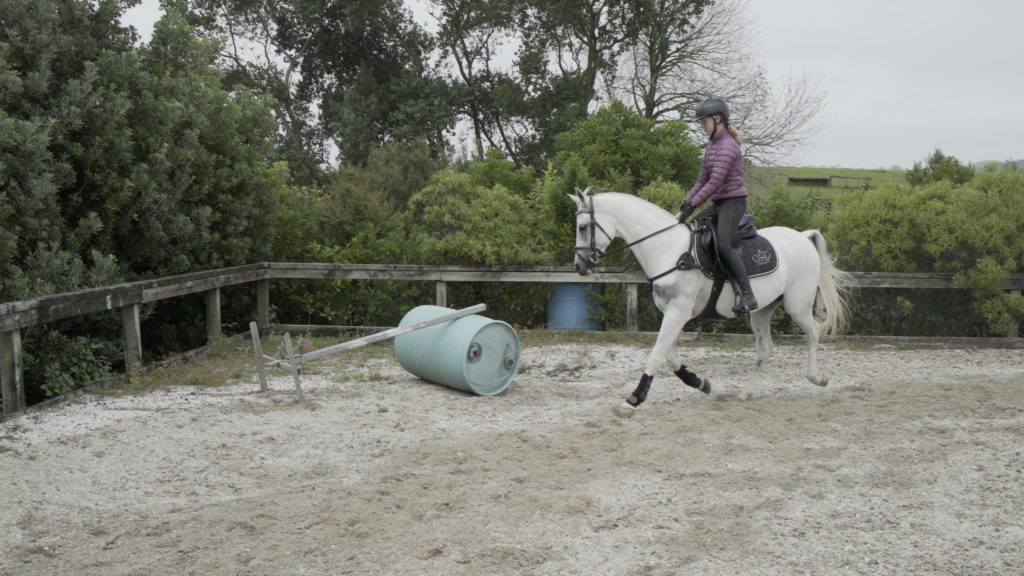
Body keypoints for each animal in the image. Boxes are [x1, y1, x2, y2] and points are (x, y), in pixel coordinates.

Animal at [569, 188, 853, 414]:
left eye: (582, 227)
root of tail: (802, 237)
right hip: (762, 310)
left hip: (797, 306)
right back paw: (746, 393)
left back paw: (817, 378)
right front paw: (701, 383)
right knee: (765, 349)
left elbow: (656, 356)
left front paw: (633, 399)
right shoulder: (673, 314)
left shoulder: (677, 314)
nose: (579, 267)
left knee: (813, 333)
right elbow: (671, 359)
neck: (668, 250)